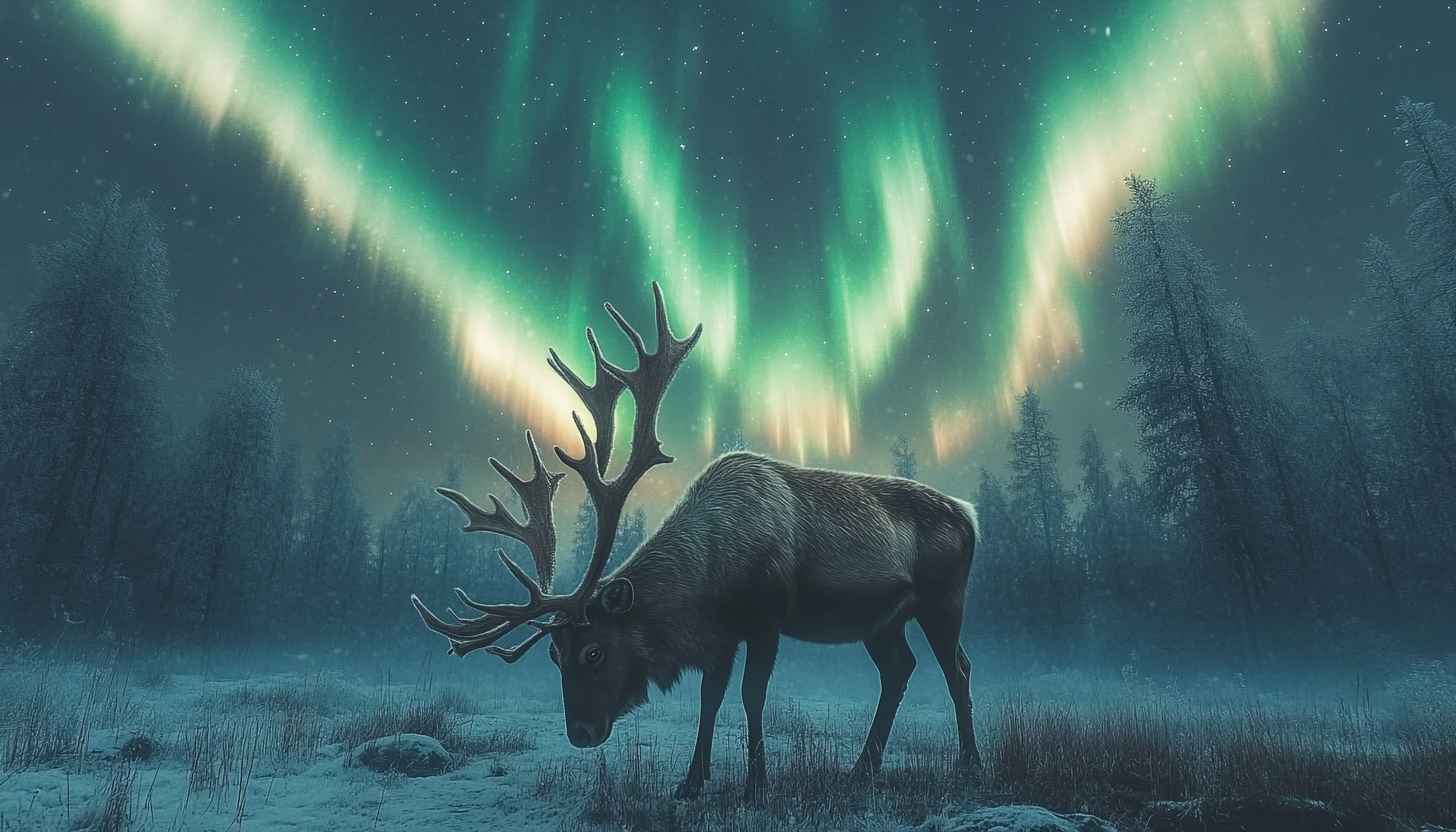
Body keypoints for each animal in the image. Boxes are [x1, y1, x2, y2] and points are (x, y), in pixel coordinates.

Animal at [411, 283, 982, 800]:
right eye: (554, 654)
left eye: (595, 651)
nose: (581, 734)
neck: (707, 582)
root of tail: (970, 516)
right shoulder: (718, 638)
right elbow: (710, 698)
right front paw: (690, 782)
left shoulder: (765, 618)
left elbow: (751, 696)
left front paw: (755, 785)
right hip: (880, 620)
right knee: (899, 669)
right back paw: (863, 768)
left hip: (944, 599)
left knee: (957, 668)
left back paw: (969, 764)